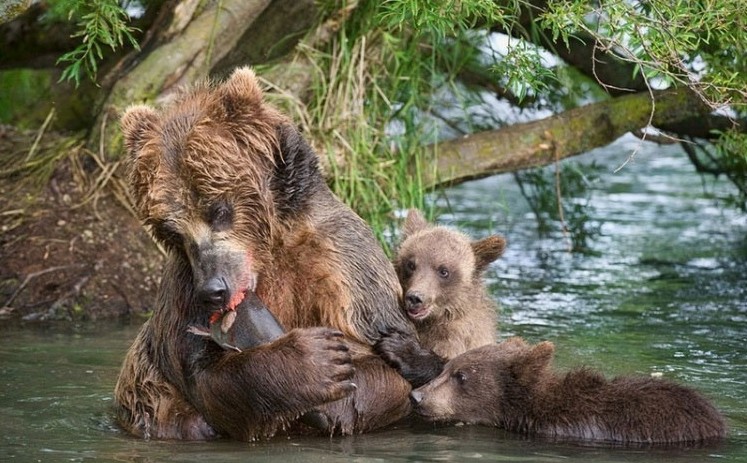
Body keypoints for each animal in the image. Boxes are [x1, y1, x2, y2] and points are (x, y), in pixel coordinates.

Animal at [115, 67, 414, 440]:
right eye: (171, 230)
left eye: (219, 209)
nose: (214, 290)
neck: (270, 250)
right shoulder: (184, 289)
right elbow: (205, 373)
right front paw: (316, 362)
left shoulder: (344, 263)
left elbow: (388, 364)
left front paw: (341, 397)